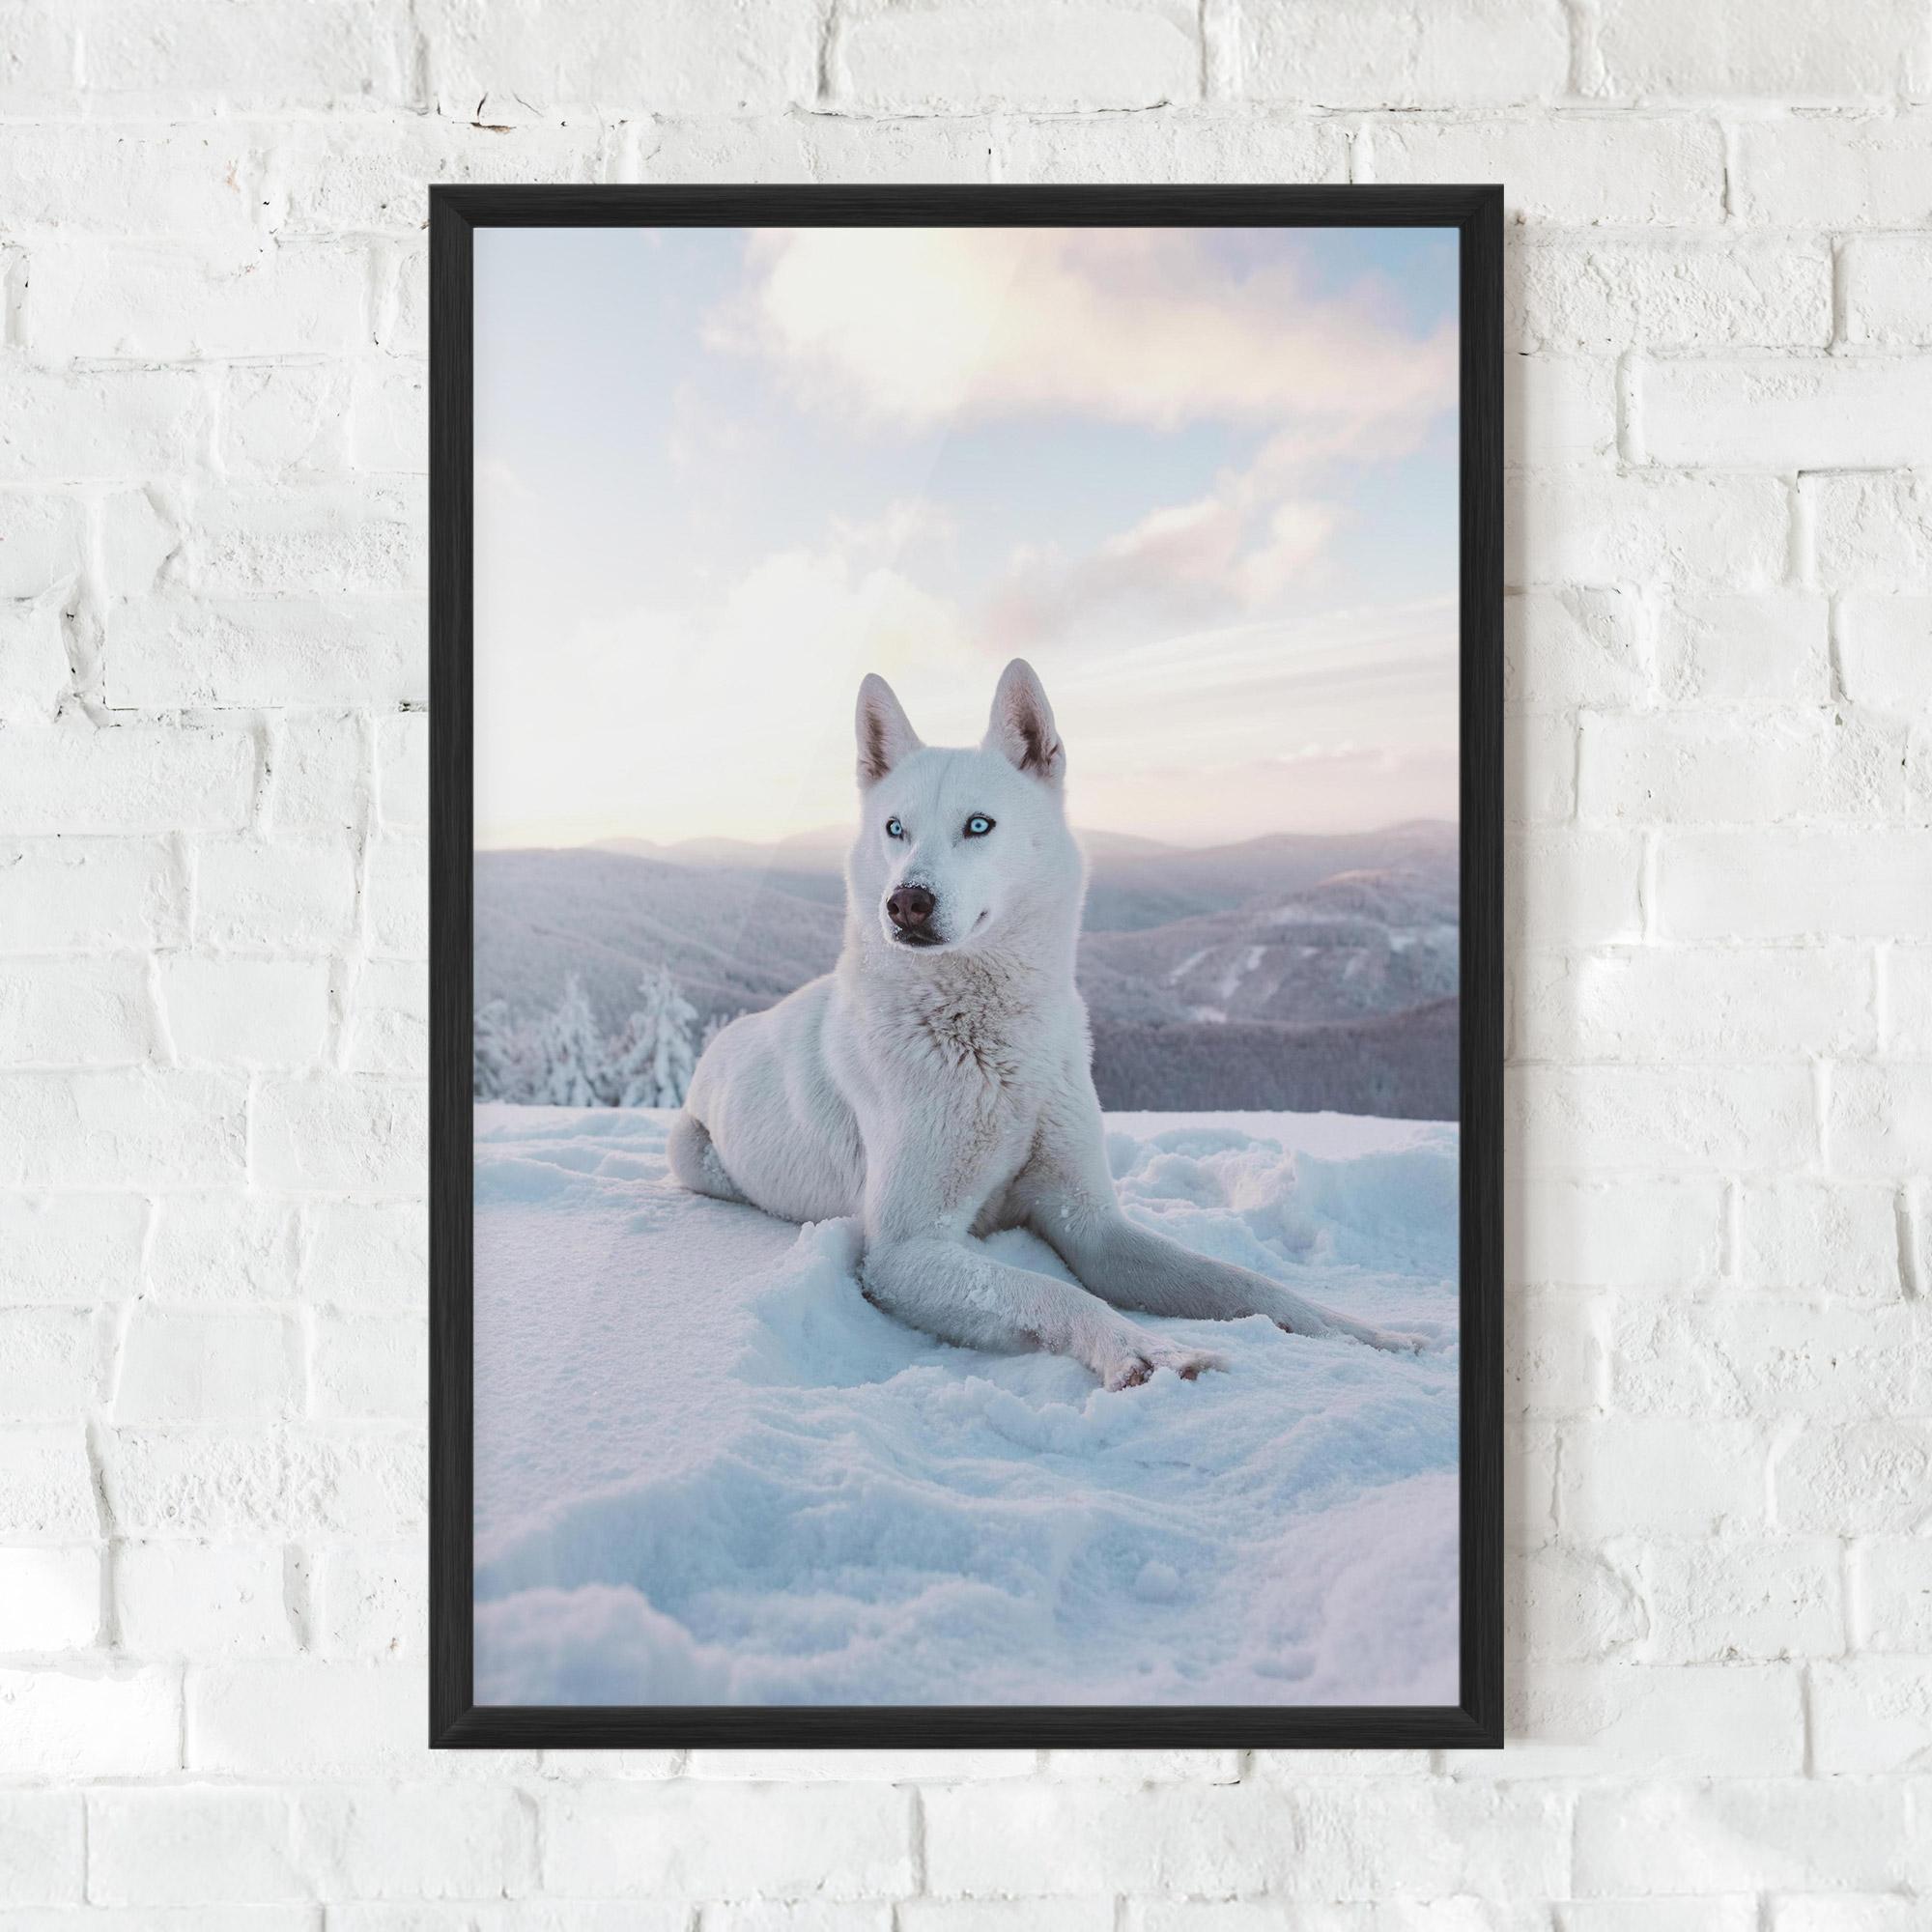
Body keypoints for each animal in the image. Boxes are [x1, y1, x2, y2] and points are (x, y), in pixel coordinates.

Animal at [669, 659, 1419, 1388]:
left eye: (979, 825)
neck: (994, 1046)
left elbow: (1240, 1281)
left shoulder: (1092, 1224)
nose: (905, 901)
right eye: (894, 829)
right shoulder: (908, 1251)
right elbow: (1053, 1292)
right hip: (695, 1156)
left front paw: (1364, 1333)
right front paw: (1146, 1351)